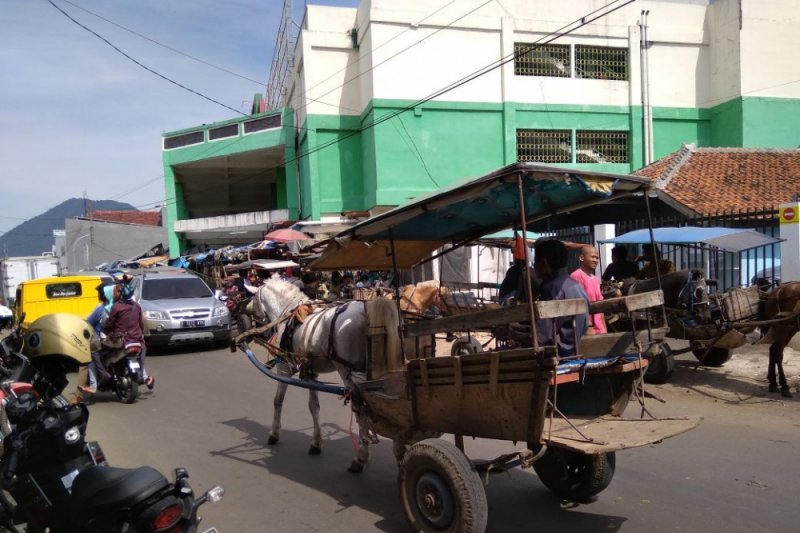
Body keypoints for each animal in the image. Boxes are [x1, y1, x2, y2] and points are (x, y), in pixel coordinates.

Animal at [253, 276, 406, 472]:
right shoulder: (311, 372)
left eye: (254, 300)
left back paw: (361, 458)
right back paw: (399, 450)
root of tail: (367, 311)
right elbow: (314, 406)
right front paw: (316, 443)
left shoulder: (284, 367)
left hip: (349, 372)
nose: (258, 324)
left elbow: (278, 401)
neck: (288, 310)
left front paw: (273, 434)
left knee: (361, 410)